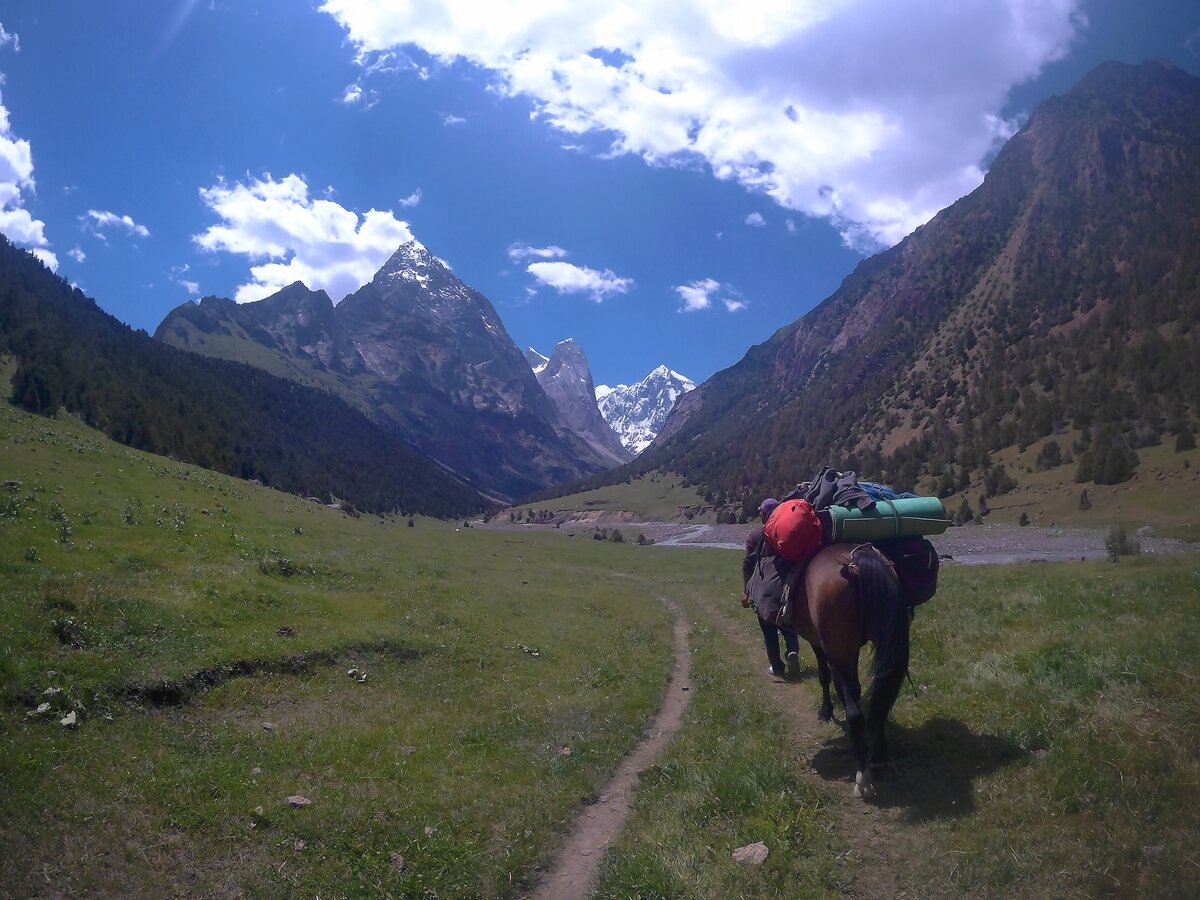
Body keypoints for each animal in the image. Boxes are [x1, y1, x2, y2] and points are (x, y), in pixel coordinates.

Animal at [782, 547, 902, 801]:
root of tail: (855, 562)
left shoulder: (819, 643)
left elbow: (824, 676)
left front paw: (825, 711)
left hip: (841, 652)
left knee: (855, 712)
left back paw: (863, 779)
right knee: (881, 698)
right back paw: (880, 759)